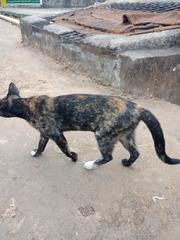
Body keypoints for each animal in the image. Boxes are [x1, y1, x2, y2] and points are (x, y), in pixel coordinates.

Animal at [0, 83, 180, 170]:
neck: (27, 105)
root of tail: (138, 107)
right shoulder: (45, 134)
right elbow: (41, 146)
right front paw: (36, 153)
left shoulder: (56, 134)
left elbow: (65, 150)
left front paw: (74, 157)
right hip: (124, 135)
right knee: (135, 153)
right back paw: (127, 164)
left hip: (103, 135)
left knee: (108, 157)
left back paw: (90, 165)